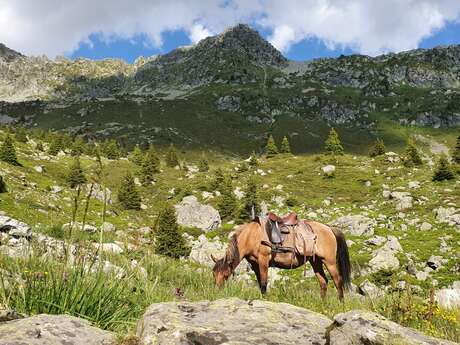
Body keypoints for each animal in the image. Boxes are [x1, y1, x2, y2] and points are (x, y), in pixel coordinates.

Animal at [212, 216, 352, 300]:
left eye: (225, 275)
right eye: (214, 274)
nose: (217, 291)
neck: (251, 236)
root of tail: (329, 228)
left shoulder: (263, 261)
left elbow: (264, 283)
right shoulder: (255, 264)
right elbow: (260, 283)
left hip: (330, 261)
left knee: (337, 281)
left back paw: (341, 302)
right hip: (315, 261)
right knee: (323, 282)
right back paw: (322, 302)